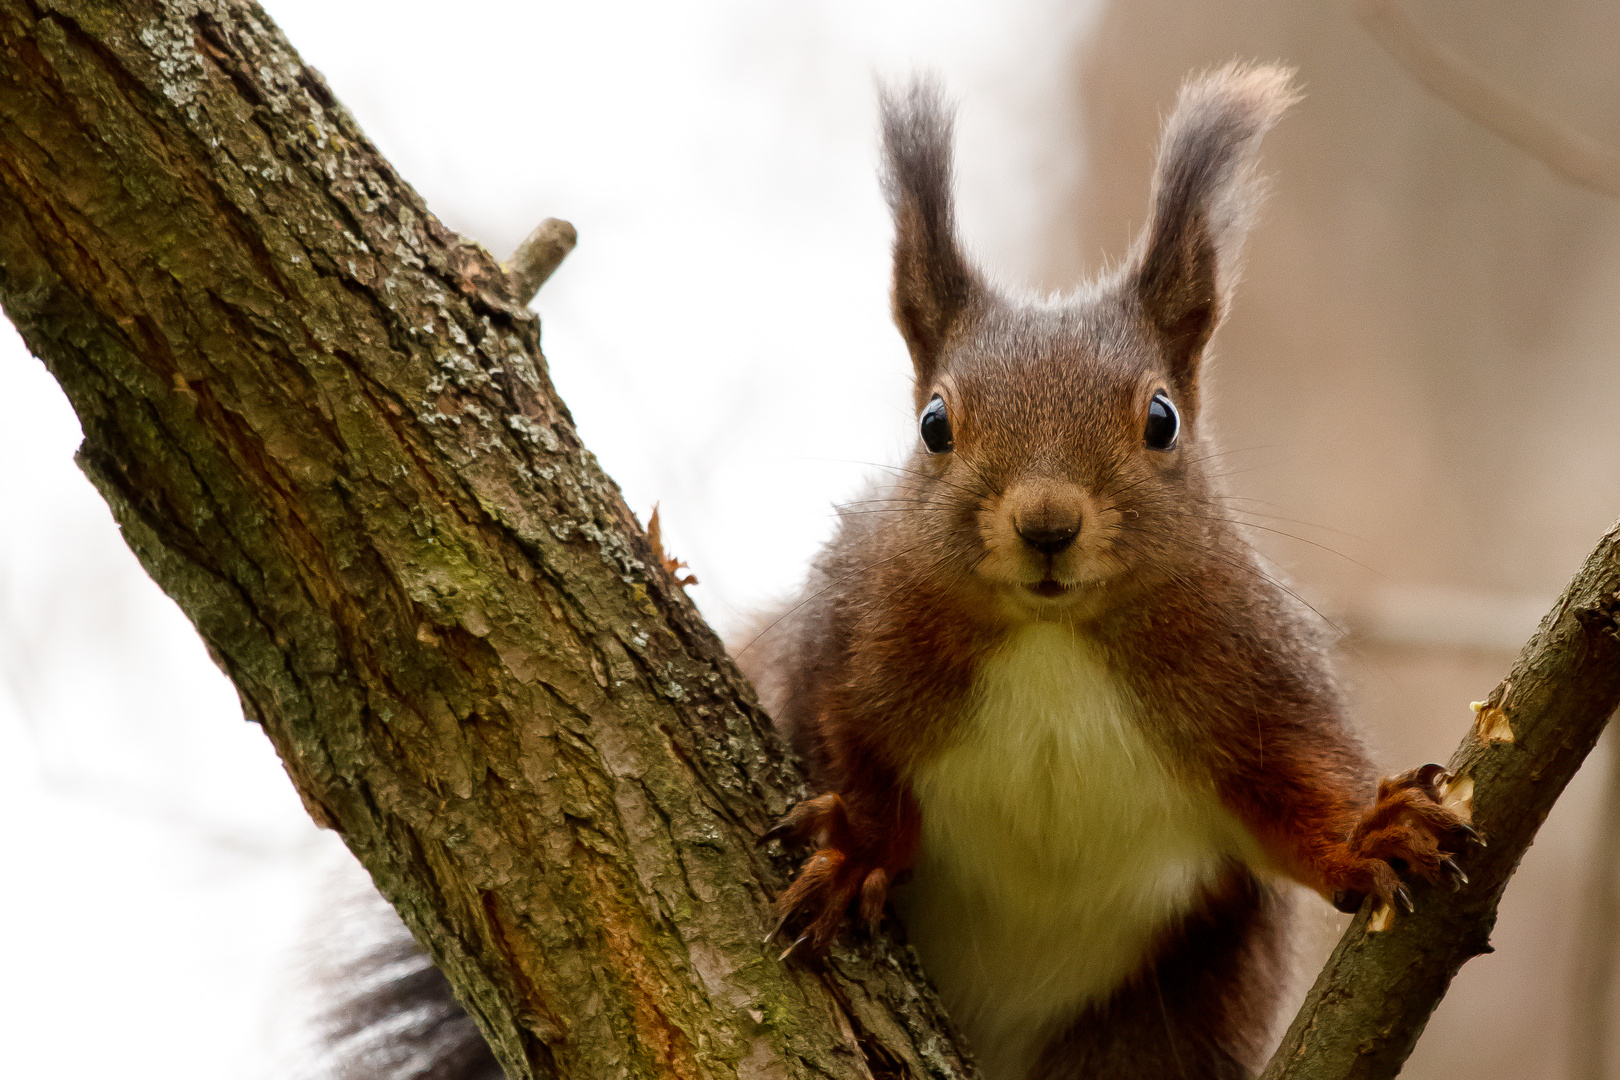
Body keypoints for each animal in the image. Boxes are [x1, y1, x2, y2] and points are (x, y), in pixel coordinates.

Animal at [745, 67, 1483, 1080]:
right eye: (934, 425)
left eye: (1162, 419)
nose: (1048, 524)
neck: (1054, 639)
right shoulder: (842, 641)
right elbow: (846, 747)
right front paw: (857, 849)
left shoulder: (1250, 672)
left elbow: (1300, 783)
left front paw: (1375, 833)